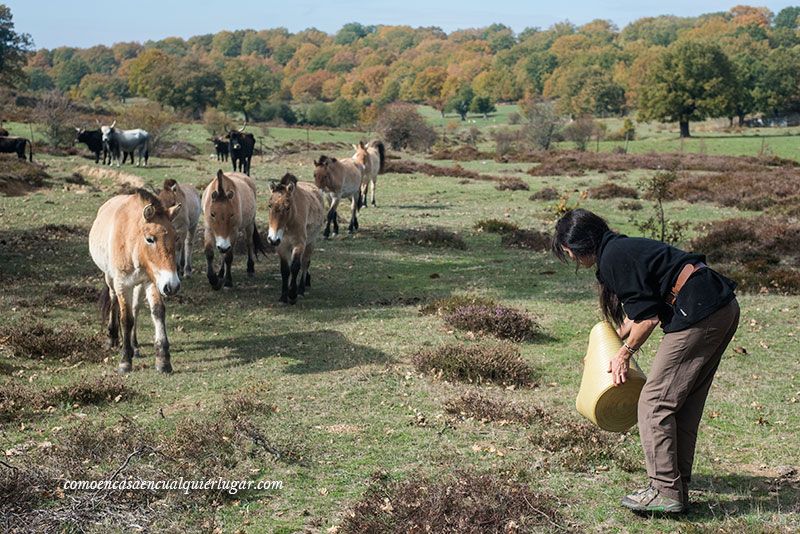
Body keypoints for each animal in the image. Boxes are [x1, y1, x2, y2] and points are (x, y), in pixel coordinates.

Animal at [90, 191, 182, 374]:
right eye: (150, 239)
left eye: (175, 238)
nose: (173, 285)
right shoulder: (122, 284)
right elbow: (126, 319)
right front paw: (125, 361)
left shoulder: (153, 281)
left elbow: (157, 312)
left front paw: (163, 361)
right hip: (110, 279)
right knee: (114, 301)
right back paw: (112, 338)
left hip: (138, 285)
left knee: (136, 308)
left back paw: (135, 345)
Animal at [264, 175, 324, 306]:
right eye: (270, 205)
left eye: (287, 207)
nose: (273, 239)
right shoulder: (282, 247)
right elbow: (285, 270)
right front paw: (283, 296)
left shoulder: (299, 244)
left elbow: (295, 266)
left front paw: (292, 295)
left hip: (311, 243)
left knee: (305, 263)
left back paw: (301, 289)